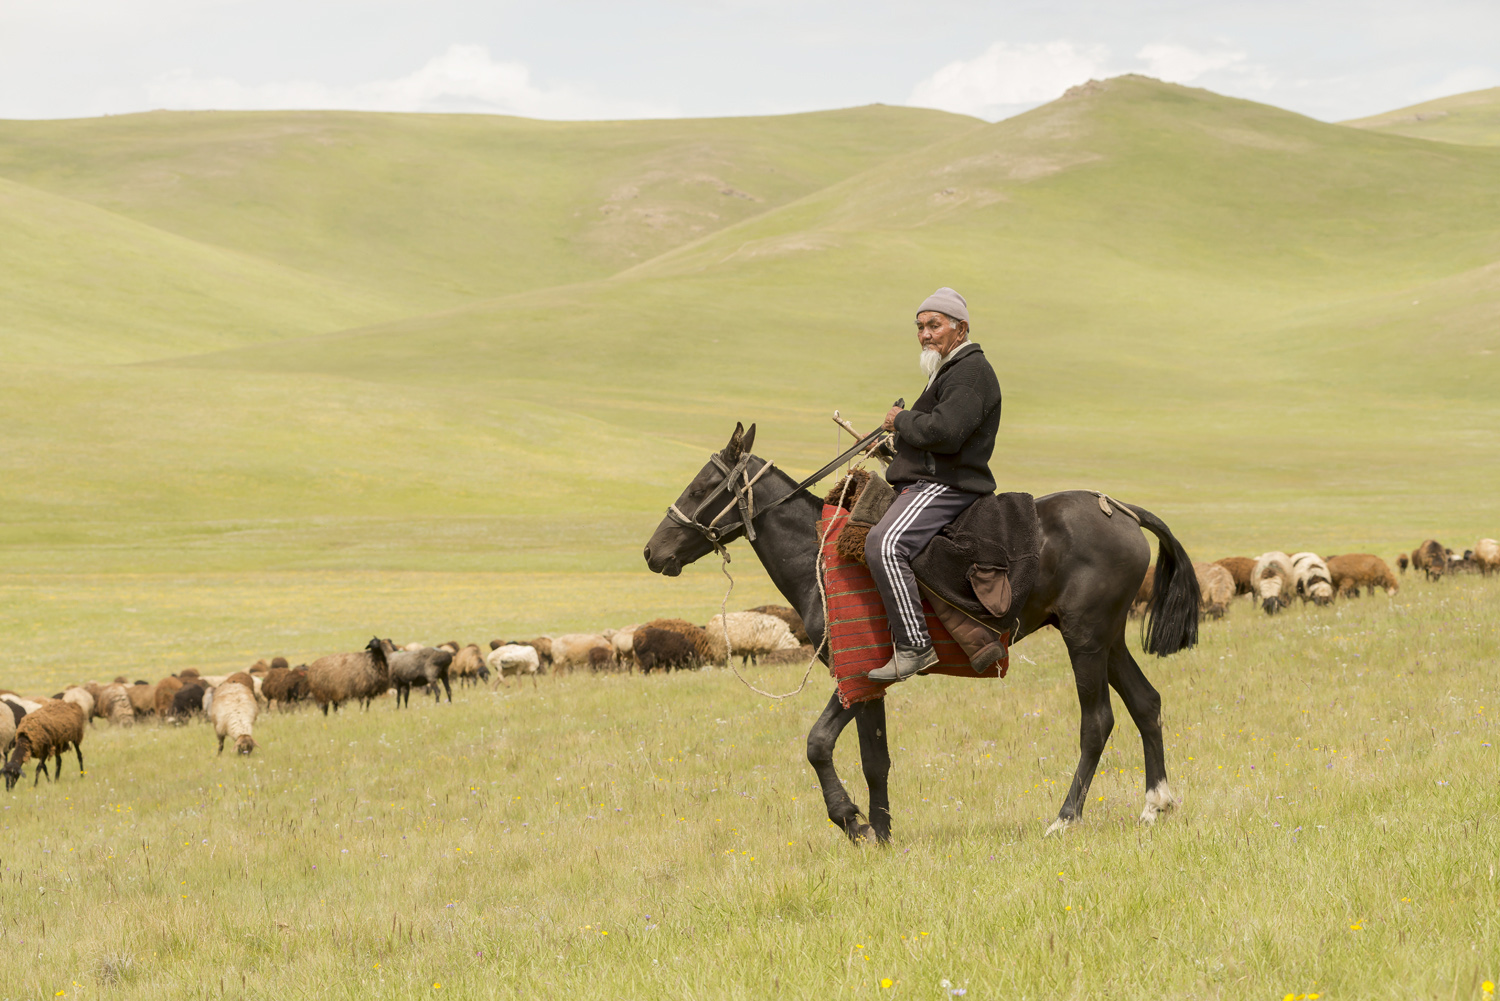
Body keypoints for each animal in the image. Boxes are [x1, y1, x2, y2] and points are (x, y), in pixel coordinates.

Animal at [639, 426, 1200, 840]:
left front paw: (853, 823)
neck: (817, 556)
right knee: (1146, 703)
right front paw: (883, 833)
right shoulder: (868, 683)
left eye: (699, 487)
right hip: (1108, 639)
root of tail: (1120, 509)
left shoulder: (859, 673)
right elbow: (875, 759)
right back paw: (1154, 805)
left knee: (1097, 721)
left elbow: (819, 744)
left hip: (1084, 639)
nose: (652, 551)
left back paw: (1065, 819)